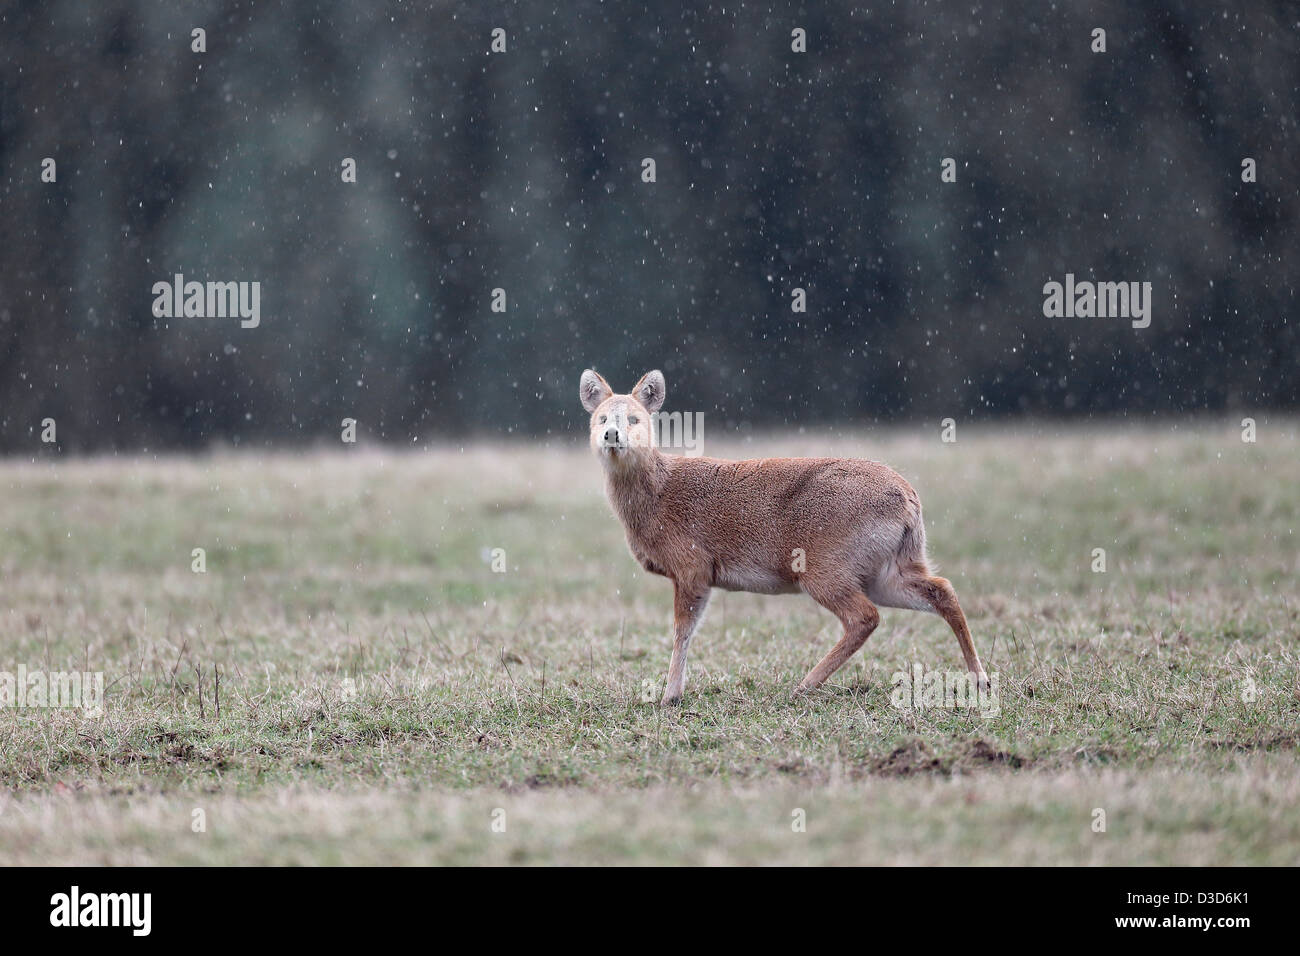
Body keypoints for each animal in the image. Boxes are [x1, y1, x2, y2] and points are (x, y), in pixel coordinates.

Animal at [574, 369, 987, 707]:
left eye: (635, 418)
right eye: (600, 418)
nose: (611, 434)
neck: (657, 496)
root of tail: (909, 500)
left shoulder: (692, 563)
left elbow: (682, 631)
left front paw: (669, 695)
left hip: (825, 564)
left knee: (864, 617)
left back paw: (804, 685)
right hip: (887, 568)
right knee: (941, 589)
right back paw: (979, 679)